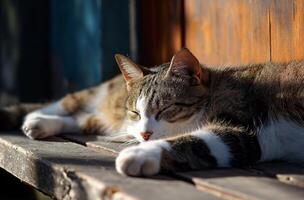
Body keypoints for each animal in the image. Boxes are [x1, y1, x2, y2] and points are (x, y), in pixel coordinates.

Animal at [1, 48, 304, 177]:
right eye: (136, 112)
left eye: (167, 109)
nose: (145, 133)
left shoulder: (247, 131)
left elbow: (199, 141)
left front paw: (141, 154)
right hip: (100, 98)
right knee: (71, 103)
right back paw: (36, 119)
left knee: (86, 119)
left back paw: (41, 123)